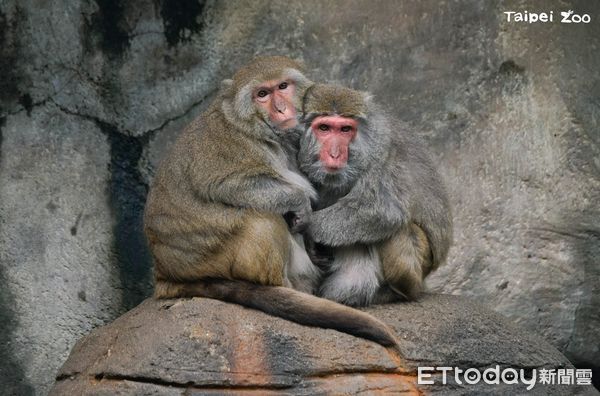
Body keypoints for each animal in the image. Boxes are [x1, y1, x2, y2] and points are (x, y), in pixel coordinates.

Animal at [292, 84, 452, 306]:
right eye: (324, 128)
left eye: (345, 129)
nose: (335, 154)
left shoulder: (380, 153)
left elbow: (383, 211)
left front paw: (310, 229)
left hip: (422, 263)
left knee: (401, 230)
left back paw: (396, 292)